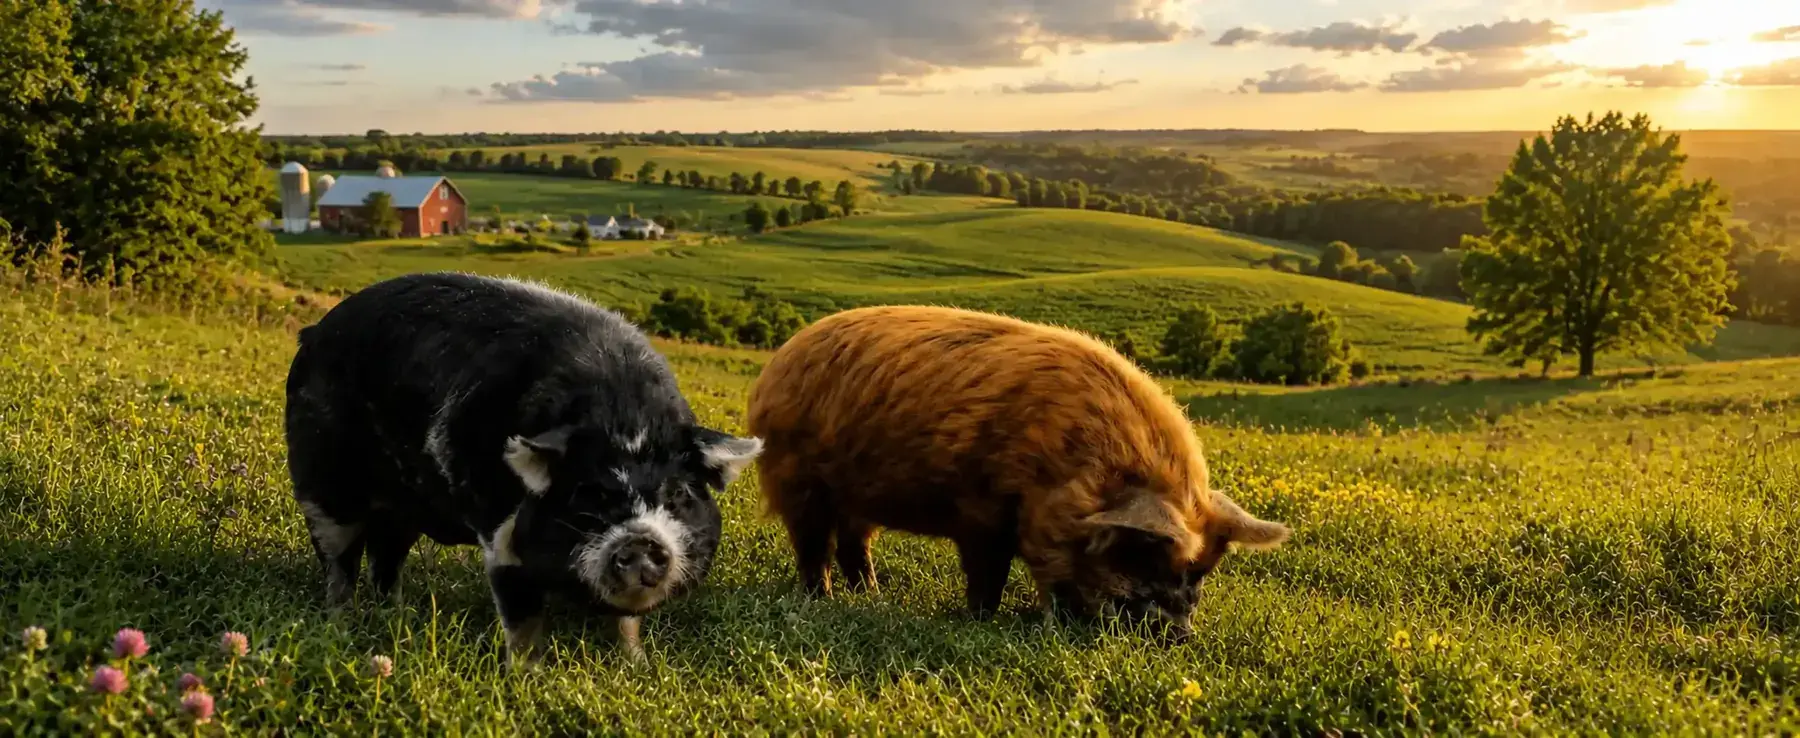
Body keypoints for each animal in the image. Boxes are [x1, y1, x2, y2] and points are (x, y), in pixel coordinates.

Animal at [283, 271, 762, 666]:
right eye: (587, 494)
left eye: (678, 495)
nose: (642, 541)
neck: (626, 420)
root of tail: (313, 333)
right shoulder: (501, 534)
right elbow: (522, 616)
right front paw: (528, 677)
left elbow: (626, 623)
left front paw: (637, 667)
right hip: (322, 485)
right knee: (339, 561)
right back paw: (341, 626)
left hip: (405, 510)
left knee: (385, 558)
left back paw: (396, 617)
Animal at [745, 305, 1289, 640]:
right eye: (1143, 555)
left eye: (1200, 572)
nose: (1178, 637)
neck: (1065, 467)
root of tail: (776, 364)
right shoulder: (980, 510)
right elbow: (989, 572)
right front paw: (981, 620)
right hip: (798, 478)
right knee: (813, 547)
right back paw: (822, 600)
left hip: (857, 497)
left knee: (853, 546)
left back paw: (872, 597)